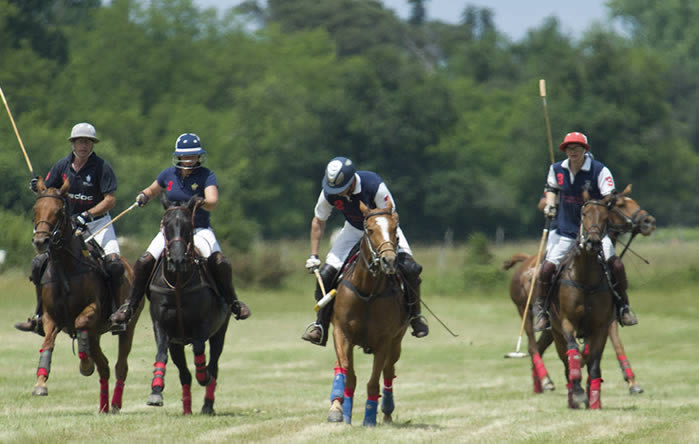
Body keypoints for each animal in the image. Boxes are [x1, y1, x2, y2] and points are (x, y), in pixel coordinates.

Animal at [31, 177, 142, 412]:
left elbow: (80, 322)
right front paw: (40, 383)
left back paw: (115, 404)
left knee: (120, 365)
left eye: (58, 212)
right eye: (36, 209)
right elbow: (47, 343)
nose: (40, 242)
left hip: (128, 327)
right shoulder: (50, 317)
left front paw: (85, 365)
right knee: (105, 366)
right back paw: (103, 406)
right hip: (96, 334)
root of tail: (130, 265)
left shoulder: (92, 309)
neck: (66, 267)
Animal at [144, 196, 231, 414]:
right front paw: (155, 392)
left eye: (188, 226)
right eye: (165, 225)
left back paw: (207, 404)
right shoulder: (161, 325)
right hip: (177, 343)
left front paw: (203, 375)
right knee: (184, 373)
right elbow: (161, 354)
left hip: (220, 331)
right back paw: (187, 409)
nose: (177, 260)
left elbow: (199, 349)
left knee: (214, 364)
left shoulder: (203, 324)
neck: (177, 283)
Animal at [326, 199, 410, 424]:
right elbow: (347, 372)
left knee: (389, 371)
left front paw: (370, 418)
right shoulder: (342, 332)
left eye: (395, 230)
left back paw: (387, 411)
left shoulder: (384, 340)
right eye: (370, 230)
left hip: (397, 341)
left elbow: (374, 381)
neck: (367, 291)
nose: (389, 261)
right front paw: (339, 411)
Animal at [504, 184, 656, 396]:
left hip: (552, 327)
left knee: (540, 347)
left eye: (606, 213)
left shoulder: (607, 318)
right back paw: (546, 380)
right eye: (620, 204)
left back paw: (540, 384)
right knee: (532, 345)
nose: (648, 221)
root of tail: (525, 261)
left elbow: (616, 344)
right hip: (524, 310)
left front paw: (633, 383)